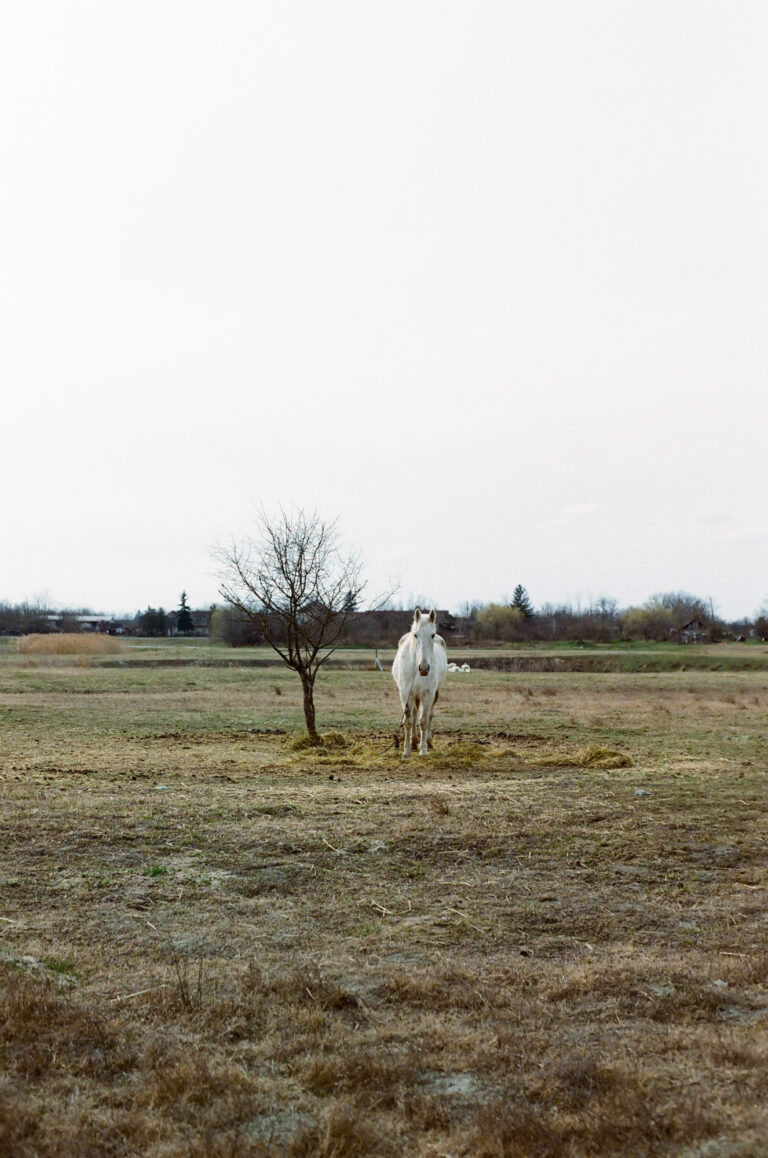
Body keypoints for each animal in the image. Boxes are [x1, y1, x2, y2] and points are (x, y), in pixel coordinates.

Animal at [393, 606, 447, 759]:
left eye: (432, 635)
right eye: (415, 635)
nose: (423, 668)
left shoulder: (428, 694)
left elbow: (423, 721)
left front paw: (423, 750)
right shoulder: (405, 694)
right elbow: (408, 721)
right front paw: (406, 751)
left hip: (434, 694)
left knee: (429, 716)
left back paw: (428, 742)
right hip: (414, 696)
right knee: (415, 713)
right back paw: (413, 741)